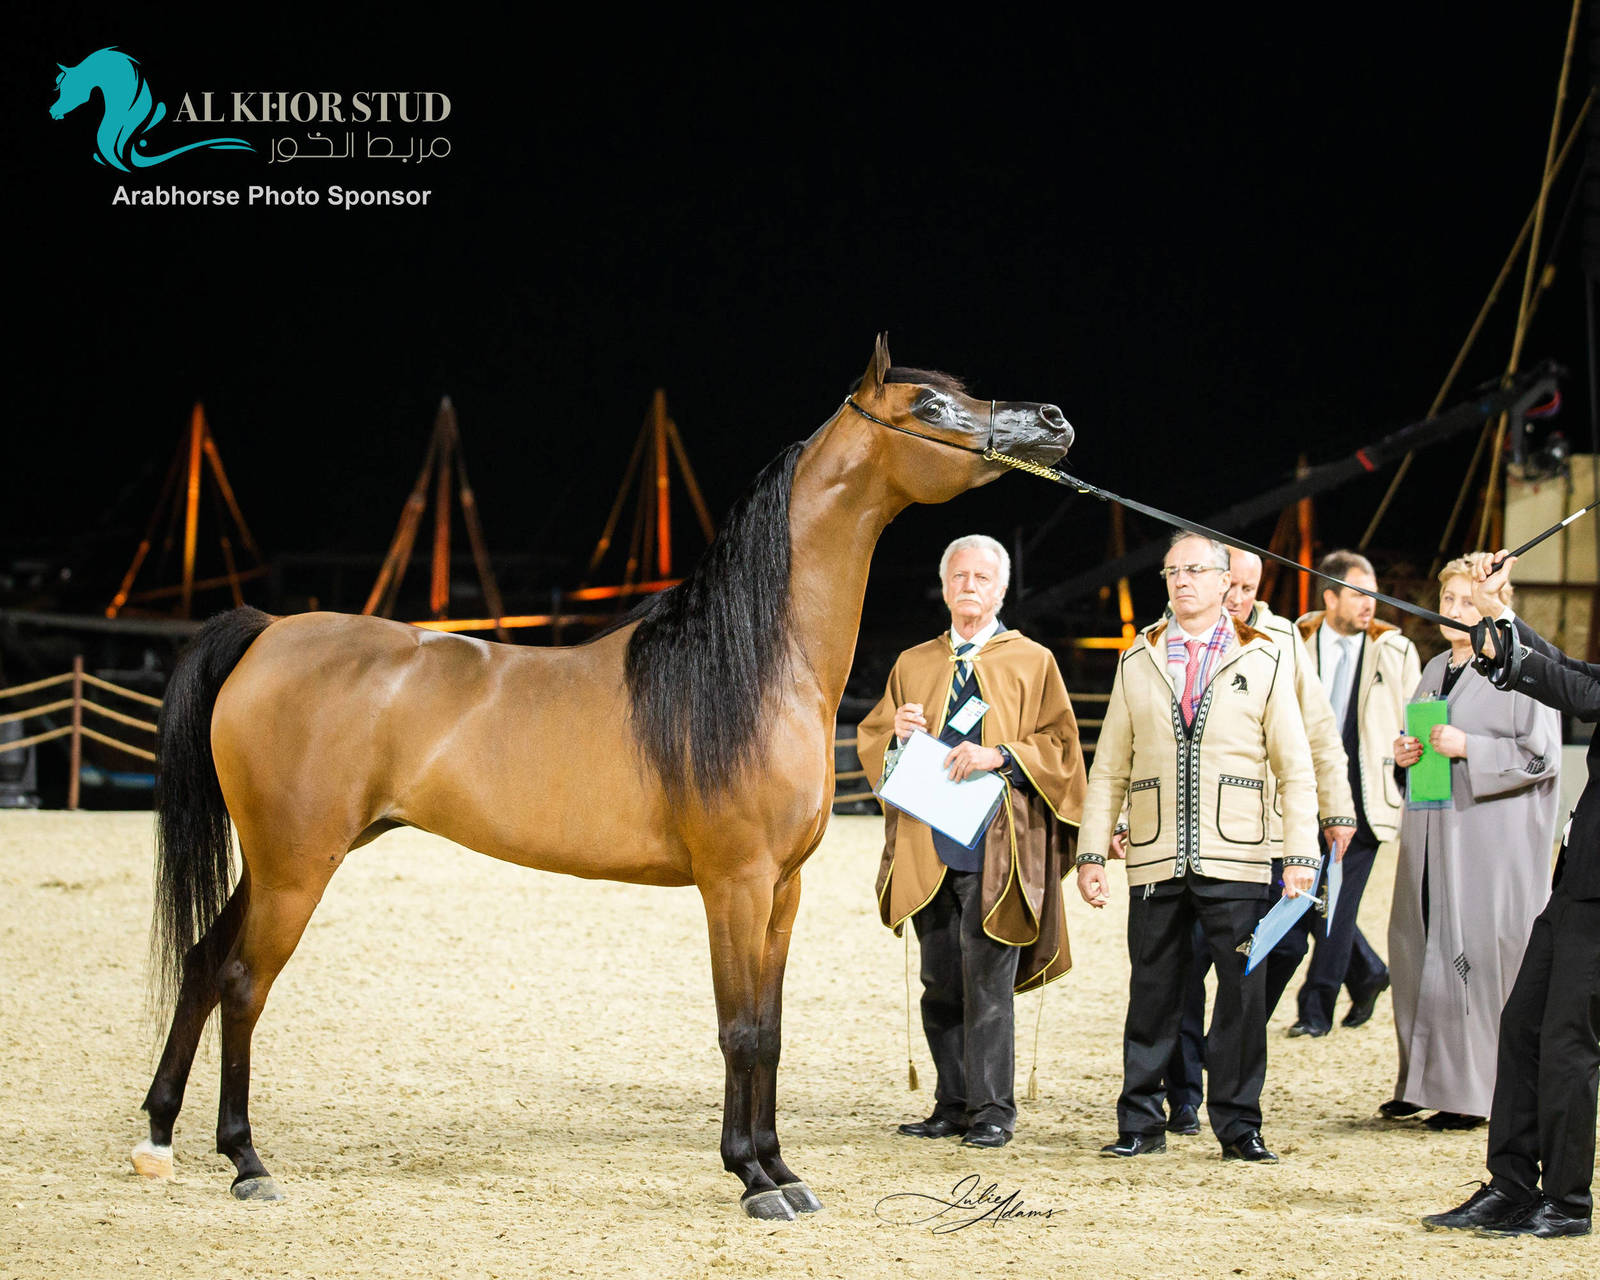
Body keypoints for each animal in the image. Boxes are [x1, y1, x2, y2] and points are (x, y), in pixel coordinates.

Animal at [133, 335, 1073, 1219]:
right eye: (932, 405)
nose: (1053, 421)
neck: (757, 668)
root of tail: (268, 631)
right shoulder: (732, 884)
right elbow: (738, 1029)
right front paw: (751, 1179)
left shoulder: (783, 890)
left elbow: (769, 1032)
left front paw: (782, 1170)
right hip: (296, 865)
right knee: (242, 984)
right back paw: (246, 1161)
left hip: (277, 861)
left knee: (202, 962)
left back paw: (159, 1137)